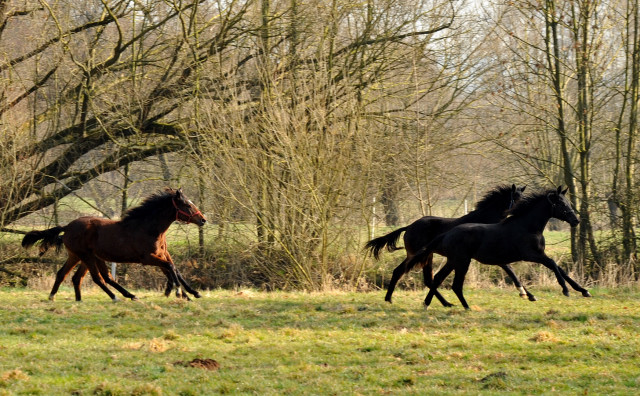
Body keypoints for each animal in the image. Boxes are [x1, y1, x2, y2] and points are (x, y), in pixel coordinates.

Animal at [21, 187, 206, 302]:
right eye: (187, 205)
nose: (203, 220)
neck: (149, 228)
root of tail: (67, 227)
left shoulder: (162, 254)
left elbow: (174, 269)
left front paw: (191, 293)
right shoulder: (147, 258)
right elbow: (170, 267)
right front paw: (178, 292)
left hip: (80, 256)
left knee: (68, 275)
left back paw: (66, 298)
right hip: (87, 256)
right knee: (98, 278)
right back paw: (119, 296)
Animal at [364, 184, 536, 304]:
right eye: (515, 199)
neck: (486, 221)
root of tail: (409, 227)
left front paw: (530, 295)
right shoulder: (493, 254)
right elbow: (510, 270)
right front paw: (525, 293)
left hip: (425, 255)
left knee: (414, 276)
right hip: (421, 255)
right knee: (411, 274)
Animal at [408, 186, 592, 310]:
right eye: (561, 204)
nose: (576, 220)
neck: (528, 227)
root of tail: (447, 234)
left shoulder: (539, 254)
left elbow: (560, 269)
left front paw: (583, 291)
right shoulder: (531, 255)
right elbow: (553, 264)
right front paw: (565, 290)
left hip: (453, 260)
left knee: (438, 278)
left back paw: (430, 304)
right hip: (460, 261)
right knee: (453, 284)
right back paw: (461, 306)